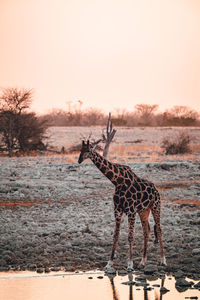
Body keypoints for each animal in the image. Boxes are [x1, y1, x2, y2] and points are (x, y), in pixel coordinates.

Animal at [77, 139, 166, 270]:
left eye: (88, 150)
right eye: (80, 149)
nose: (79, 160)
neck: (117, 181)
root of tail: (156, 189)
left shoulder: (131, 211)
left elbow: (130, 237)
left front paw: (130, 264)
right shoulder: (118, 210)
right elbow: (116, 236)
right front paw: (109, 263)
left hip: (155, 206)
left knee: (159, 230)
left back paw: (163, 260)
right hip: (144, 210)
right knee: (146, 231)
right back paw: (143, 262)